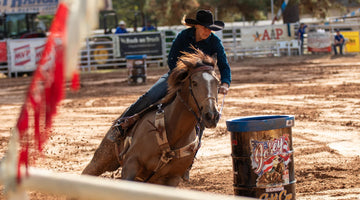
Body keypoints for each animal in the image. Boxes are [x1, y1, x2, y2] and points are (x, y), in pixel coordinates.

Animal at [82, 48, 221, 186]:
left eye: (218, 83)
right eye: (194, 82)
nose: (212, 115)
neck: (173, 133)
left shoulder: (173, 178)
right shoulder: (130, 165)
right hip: (102, 159)